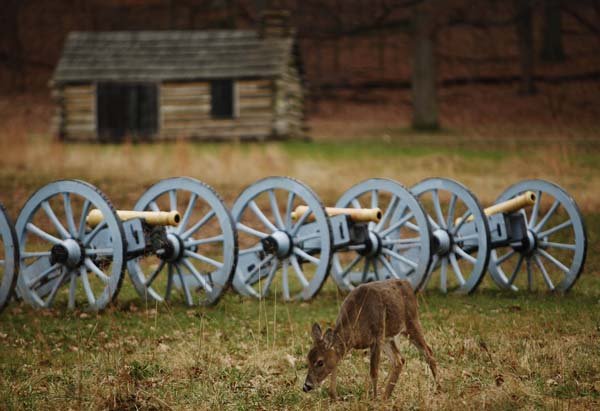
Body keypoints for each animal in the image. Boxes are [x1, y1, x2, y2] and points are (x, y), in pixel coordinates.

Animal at [302, 278, 438, 400]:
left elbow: (374, 372)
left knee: (429, 353)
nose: (306, 386)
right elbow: (335, 365)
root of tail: (408, 284)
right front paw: (333, 396)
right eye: (307, 360)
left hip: (411, 321)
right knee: (399, 360)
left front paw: (373, 399)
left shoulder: (376, 339)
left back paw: (438, 389)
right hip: (388, 337)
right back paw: (385, 397)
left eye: (320, 362)